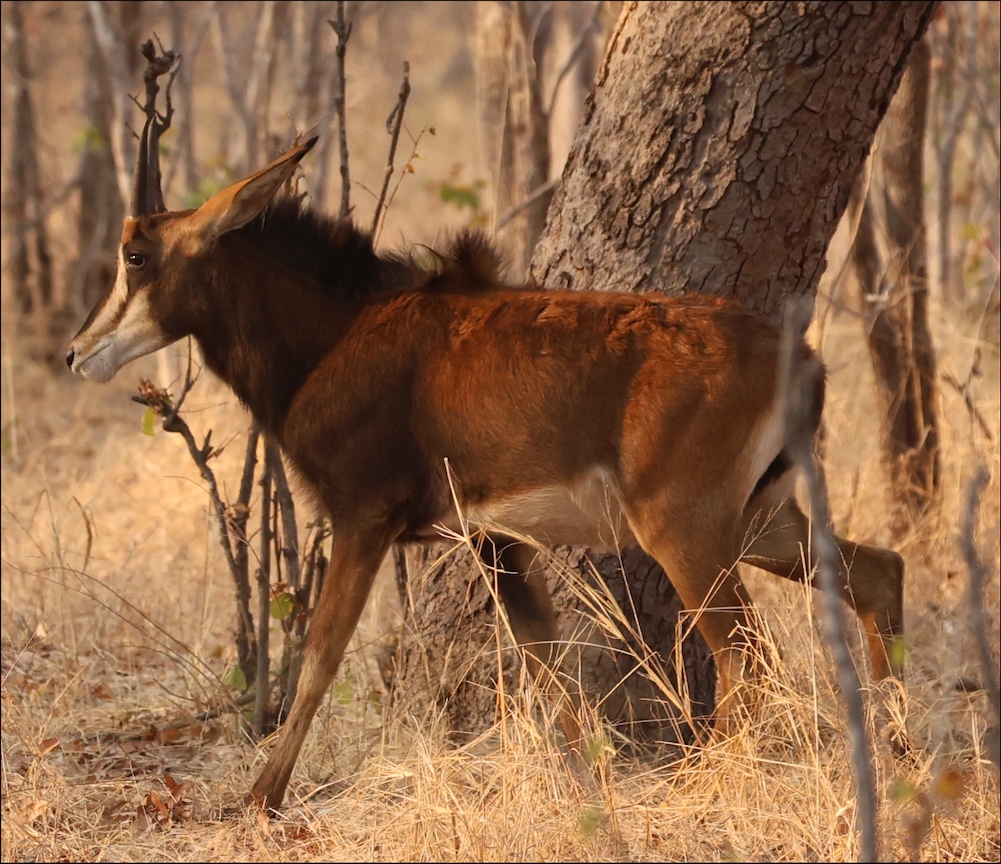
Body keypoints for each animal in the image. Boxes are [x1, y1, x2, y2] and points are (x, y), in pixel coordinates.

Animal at [68, 121, 904, 812]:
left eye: (136, 254)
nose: (79, 352)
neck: (336, 333)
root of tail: (799, 358)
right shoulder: (493, 540)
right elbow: (545, 666)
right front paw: (588, 787)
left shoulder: (364, 519)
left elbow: (320, 657)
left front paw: (259, 798)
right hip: (762, 518)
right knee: (875, 571)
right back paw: (894, 750)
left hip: (685, 529)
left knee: (747, 660)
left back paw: (706, 788)